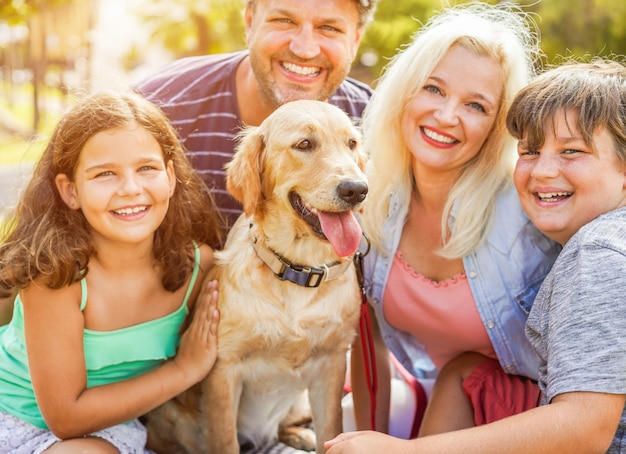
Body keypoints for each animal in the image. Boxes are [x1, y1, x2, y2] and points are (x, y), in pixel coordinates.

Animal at [145, 100, 366, 454]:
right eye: (304, 144)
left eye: (352, 144)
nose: (358, 190)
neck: (296, 272)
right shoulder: (224, 369)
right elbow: (224, 440)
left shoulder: (332, 362)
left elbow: (331, 430)